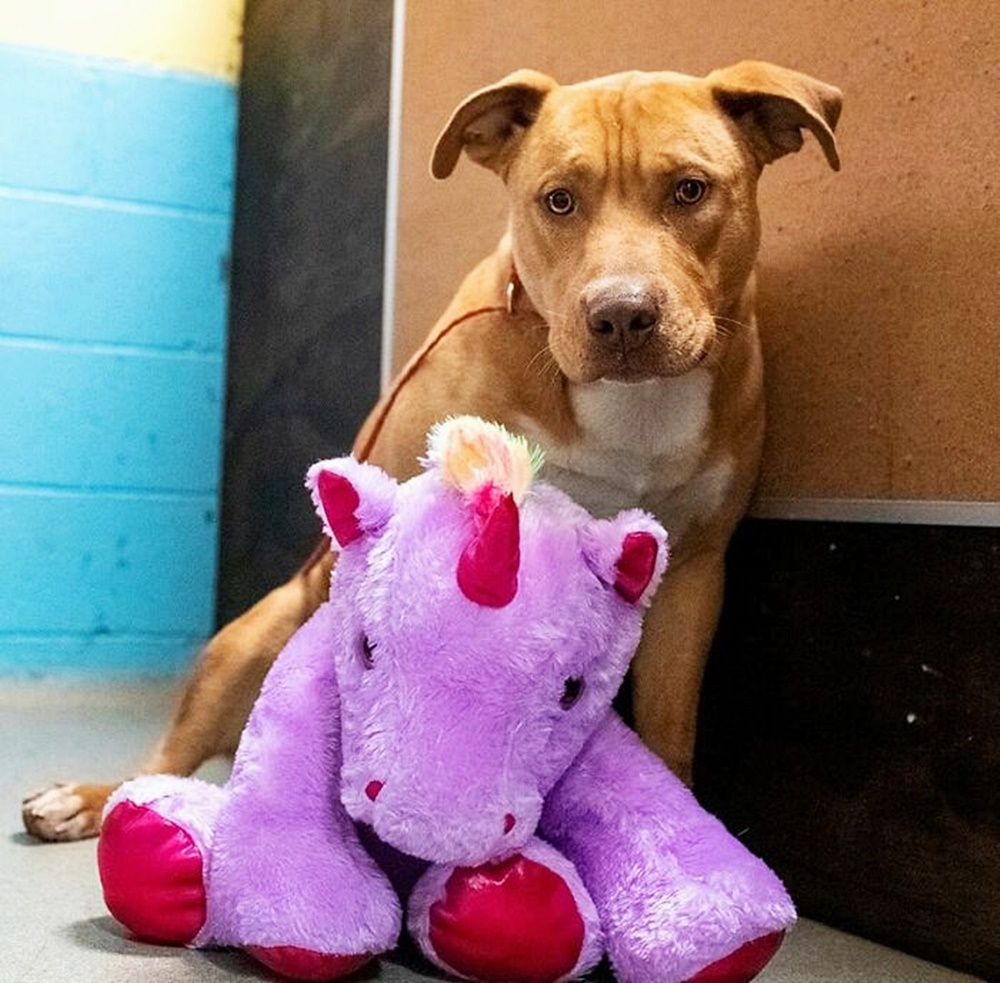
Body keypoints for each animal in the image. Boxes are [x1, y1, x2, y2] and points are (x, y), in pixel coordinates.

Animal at [24, 61, 840, 841]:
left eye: (690, 190)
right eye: (558, 201)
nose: (621, 315)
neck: (623, 409)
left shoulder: (694, 575)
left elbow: (672, 736)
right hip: (248, 639)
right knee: (164, 761)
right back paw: (93, 802)